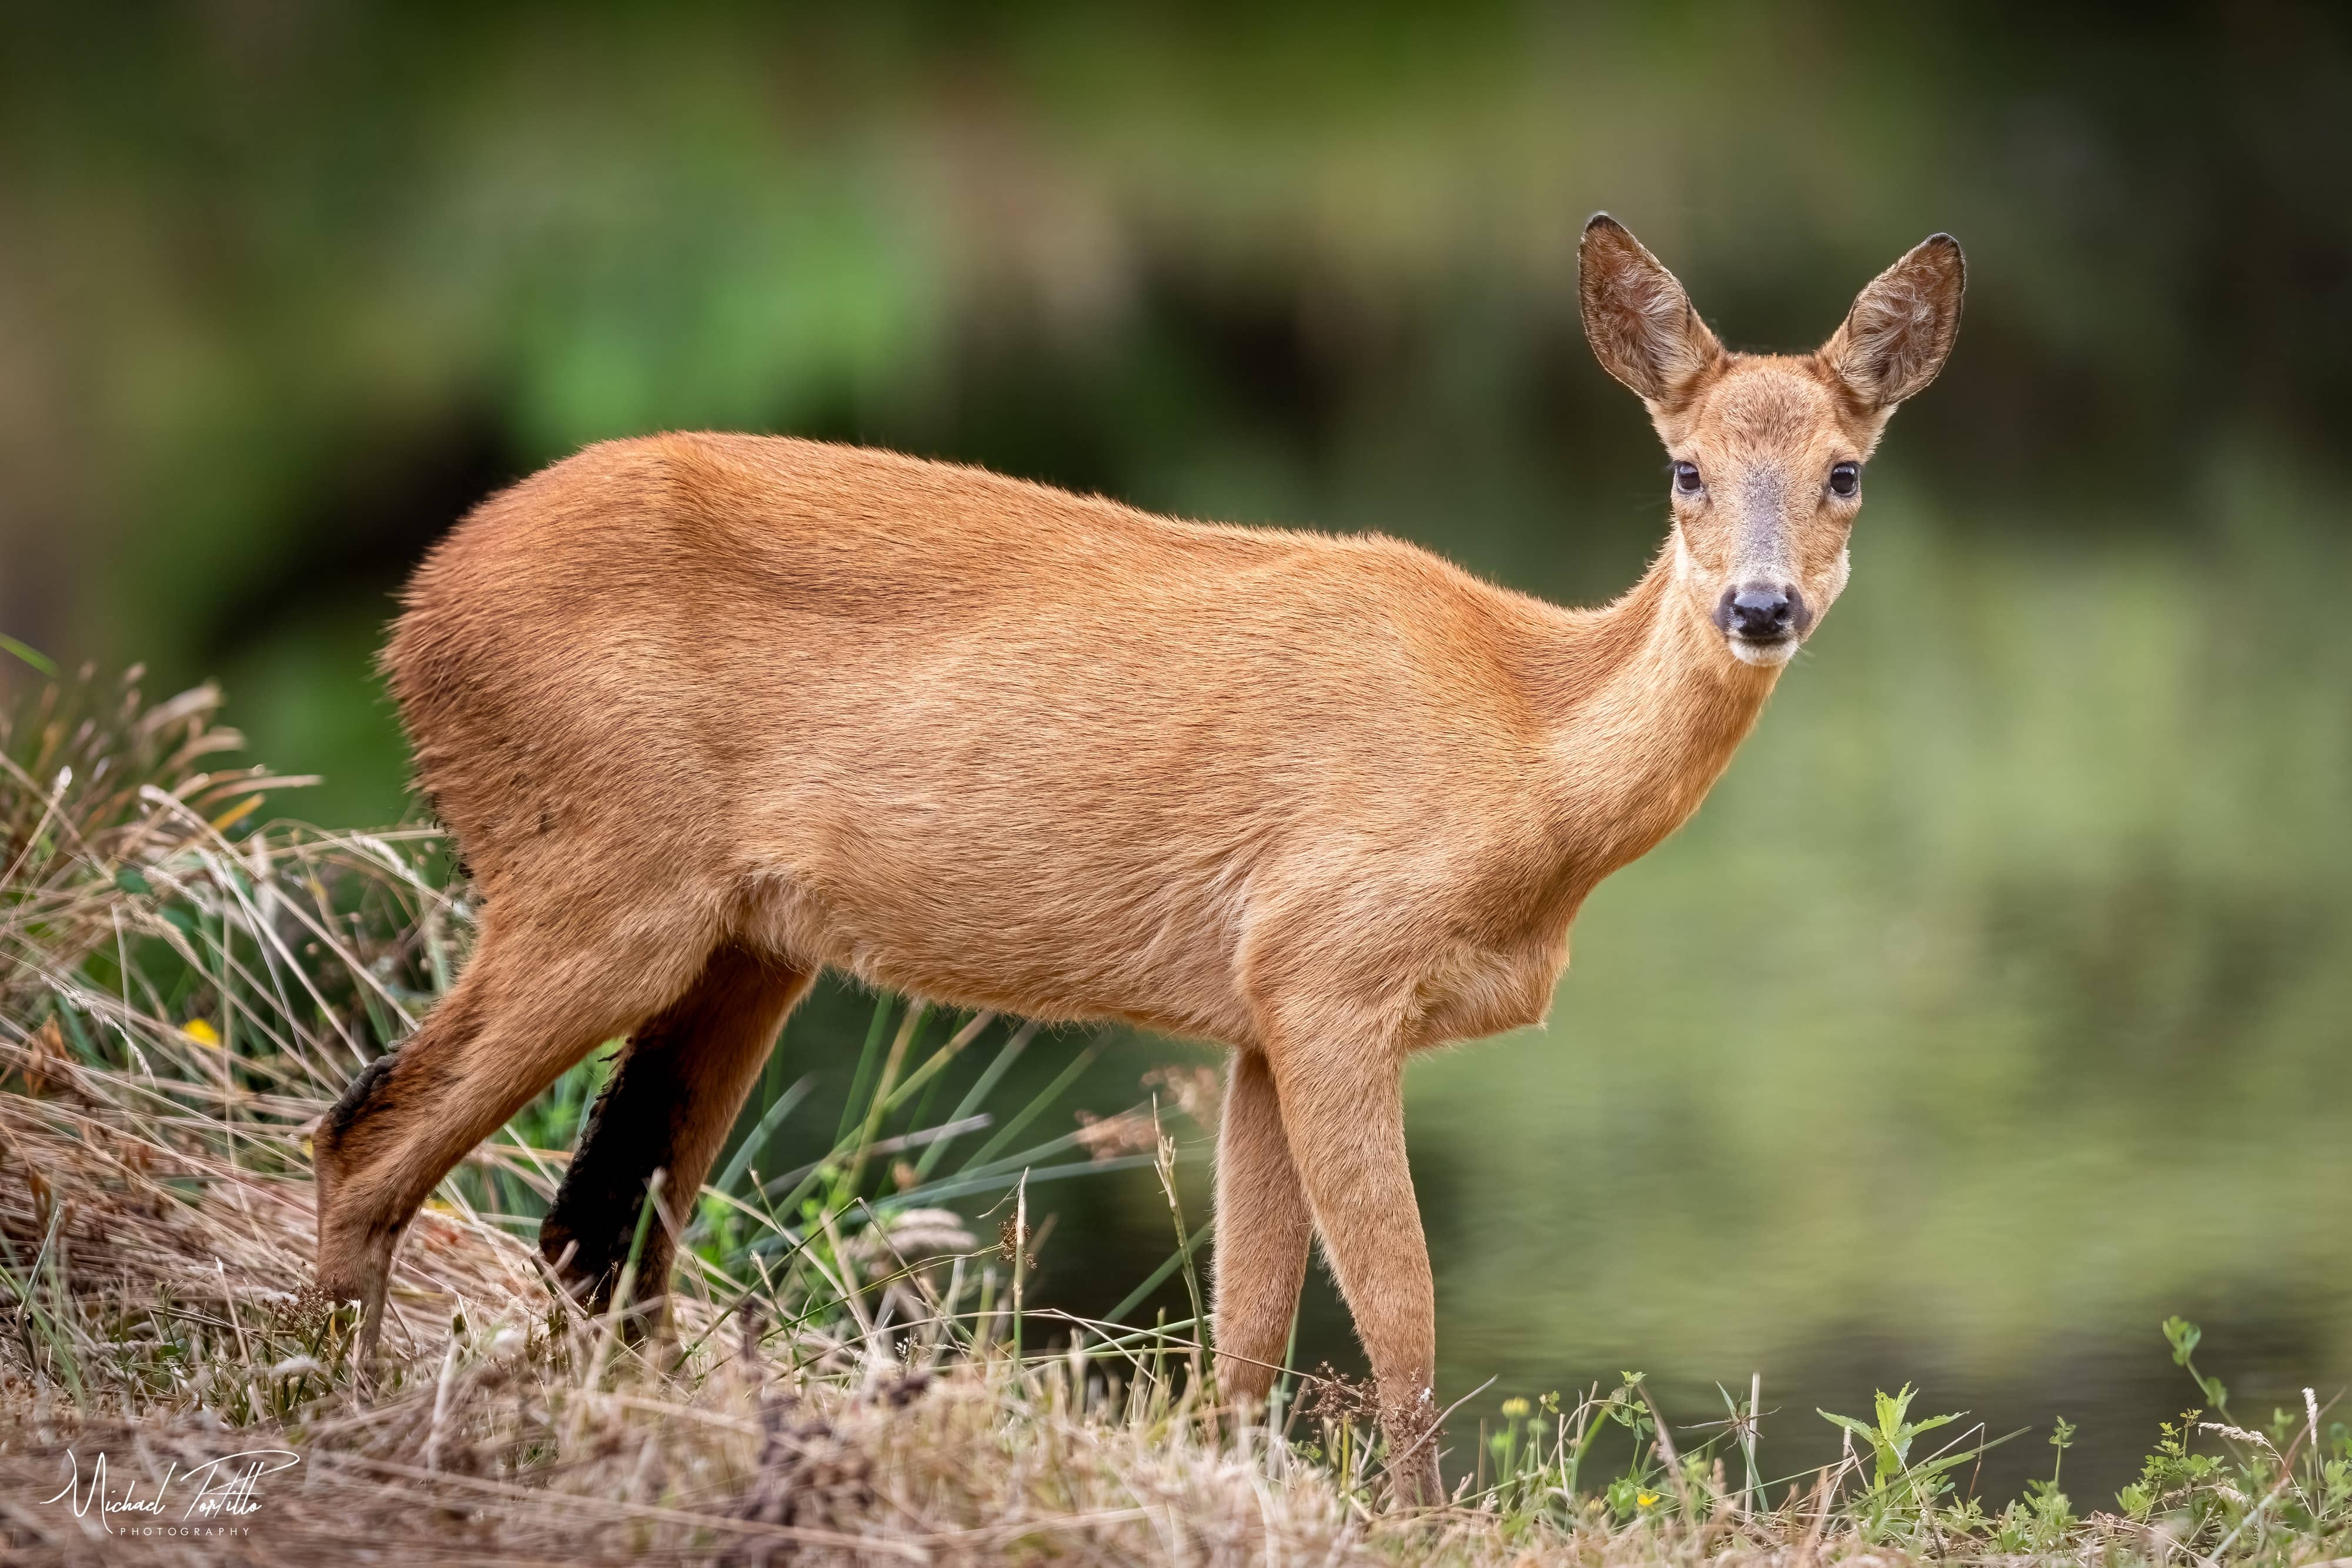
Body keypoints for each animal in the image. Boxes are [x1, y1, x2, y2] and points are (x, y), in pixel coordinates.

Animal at [318, 215, 1966, 1505]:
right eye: (1682, 470)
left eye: (1844, 473)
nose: (1758, 607)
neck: (1522, 753)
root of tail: (413, 616)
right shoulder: (1329, 966)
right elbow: (1401, 1310)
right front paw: (1419, 1521)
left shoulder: (1254, 1018)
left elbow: (1245, 1333)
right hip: (598, 871)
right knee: (372, 1137)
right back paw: (322, 1407)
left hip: (741, 939)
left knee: (598, 1224)